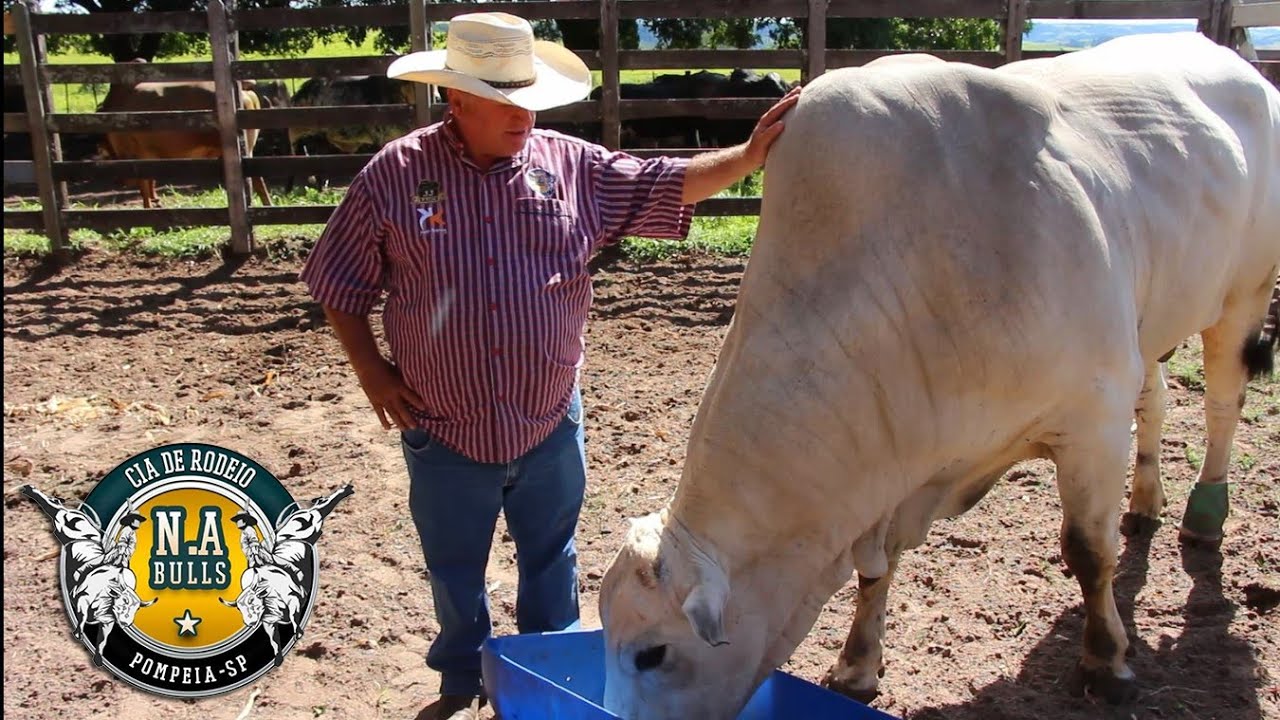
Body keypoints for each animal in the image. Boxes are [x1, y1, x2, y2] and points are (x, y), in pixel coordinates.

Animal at [97, 79, 272, 208]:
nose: (118, 181)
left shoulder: (136, 154)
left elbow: (144, 184)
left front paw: (149, 206)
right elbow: (149, 181)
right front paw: (155, 201)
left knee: (256, 178)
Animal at [597, 33, 1279, 720]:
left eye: (652, 653)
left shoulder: (1093, 420)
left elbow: (1089, 554)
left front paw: (1106, 661)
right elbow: (876, 571)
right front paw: (856, 663)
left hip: (1244, 295)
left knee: (1223, 402)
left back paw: (1204, 513)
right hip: (1152, 323)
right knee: (1157, 399)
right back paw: (1144, 503)